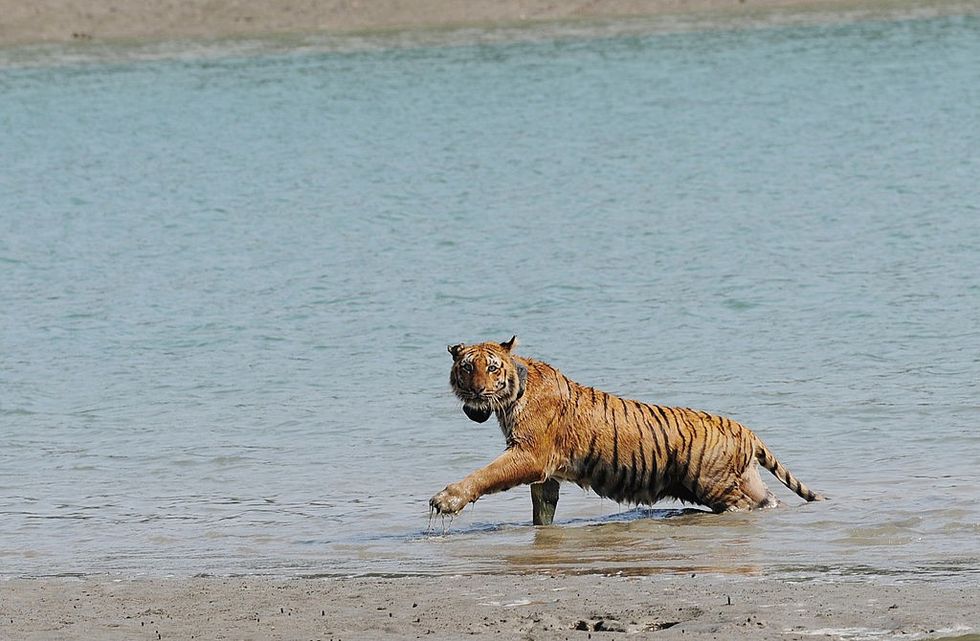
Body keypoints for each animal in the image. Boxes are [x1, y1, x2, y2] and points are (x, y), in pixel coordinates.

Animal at [429, 337, 825, 521]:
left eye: (492, 368)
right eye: (467, 368)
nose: (476, 391)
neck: (513, 392)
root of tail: (746, 430)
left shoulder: (530, 455)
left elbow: (485, 474)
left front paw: (445, 500)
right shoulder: (546, 475)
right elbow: (542, 512)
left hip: (713, 484)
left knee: (739, 506)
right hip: (745, 481)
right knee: (768, 500)